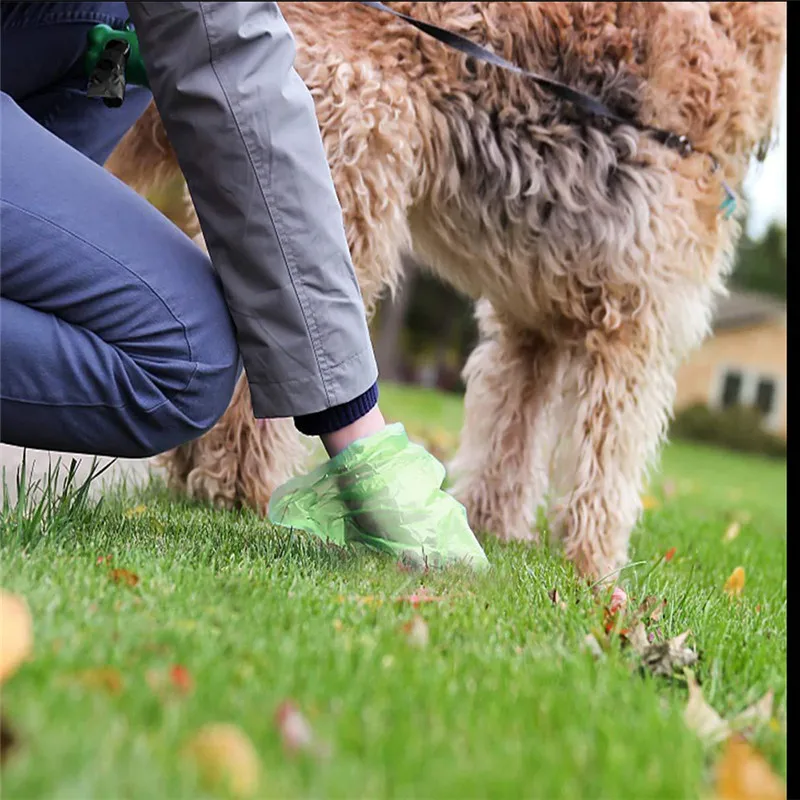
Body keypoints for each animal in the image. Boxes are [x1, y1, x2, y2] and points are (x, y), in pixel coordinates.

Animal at [103, 0, 784, 576]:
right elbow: (607, 463)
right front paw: (596, 567)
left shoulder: (531, 327)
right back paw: (240, 485)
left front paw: (499, 530)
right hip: (341, 190)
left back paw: (200, 475)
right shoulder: (634, 327)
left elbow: (509, 441)